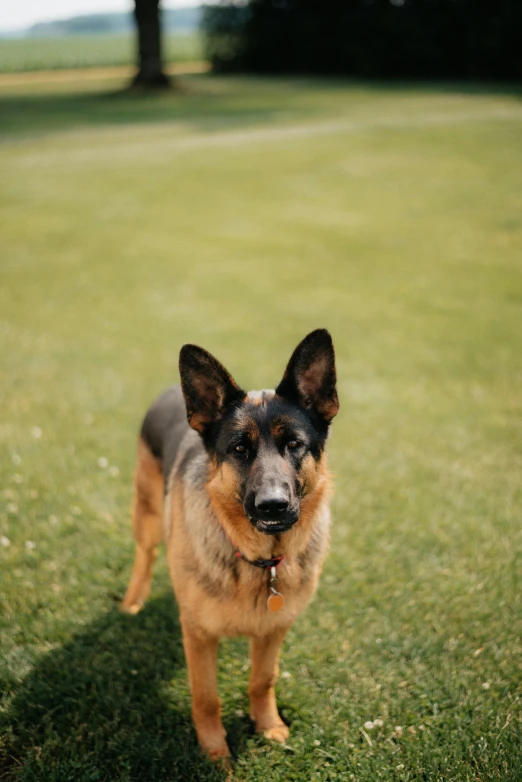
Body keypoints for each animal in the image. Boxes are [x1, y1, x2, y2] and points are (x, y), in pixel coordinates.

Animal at [121, 330, 338, 760]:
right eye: (239, 448)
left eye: (294, 444)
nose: (273, 505)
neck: (260, 561)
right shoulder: (199, 637)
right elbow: (206, 697)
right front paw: (214, 752)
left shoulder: (274, 630)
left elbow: (263, 680)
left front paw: (268, 725)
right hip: (148, 515)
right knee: (144, 554)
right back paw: (132, 601)